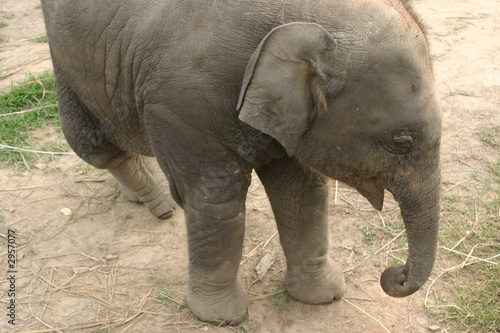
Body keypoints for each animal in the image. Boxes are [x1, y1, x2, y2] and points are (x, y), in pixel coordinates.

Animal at [43, 0, 442, 322]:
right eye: (402, 143)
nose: (394, 274)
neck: (295, 20)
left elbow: (301, 191)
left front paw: (323, 297)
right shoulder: (181, 102)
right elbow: (216, 198)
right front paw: (221, 317)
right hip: (65, 57)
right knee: (93, 144)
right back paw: (159, 205)